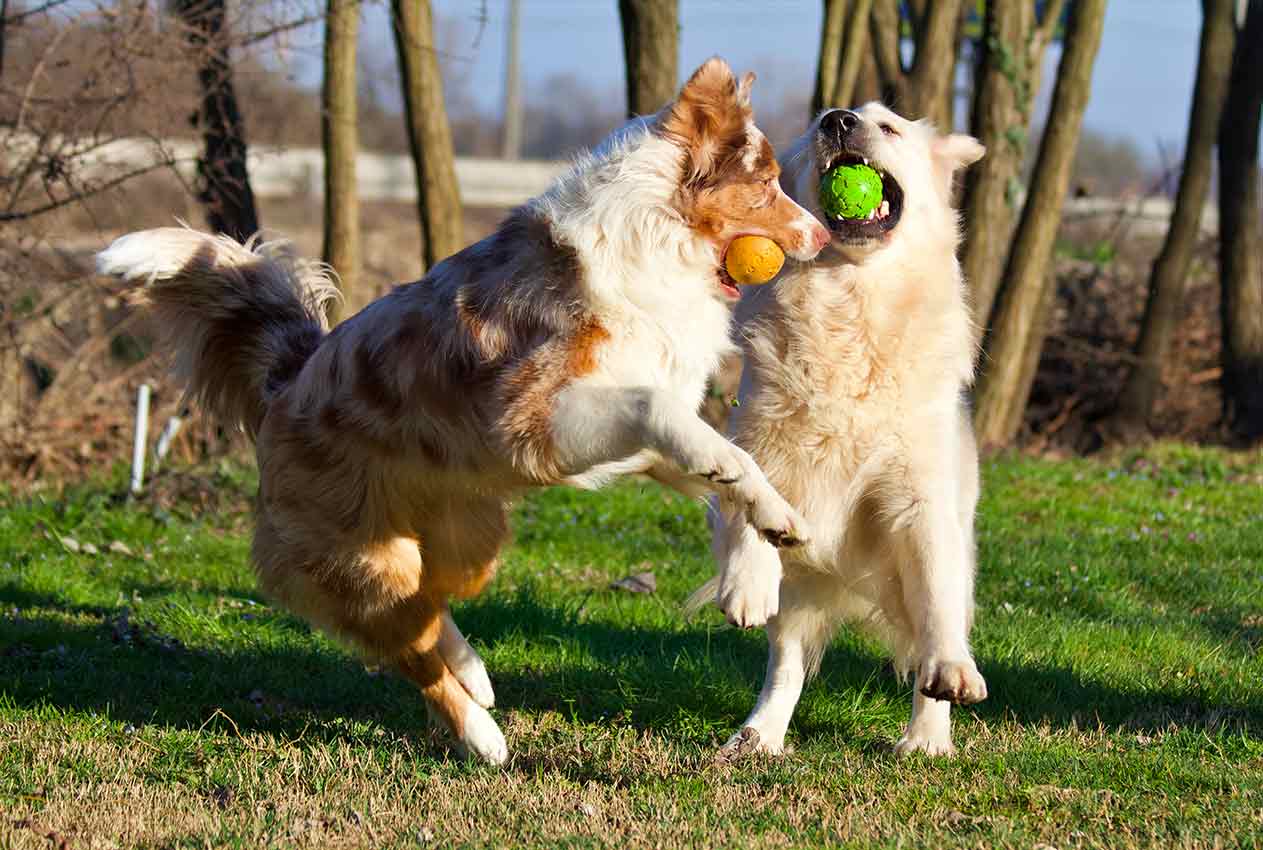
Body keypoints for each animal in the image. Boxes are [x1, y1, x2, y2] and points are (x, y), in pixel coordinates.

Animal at [98, 59, 828, 762]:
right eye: (767, 185)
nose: (823, 234)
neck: (655, 241)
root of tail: (289, 379)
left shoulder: (633, 444)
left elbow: (738, 469)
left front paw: (765, 556)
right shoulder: (534, 419)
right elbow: (673, 421)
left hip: (468, 539)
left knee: (429, 605)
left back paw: (474, 670)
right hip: (361, 557)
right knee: (406, 648)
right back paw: (480, 734)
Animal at [702, 101, 985, 757]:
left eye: (890, 127)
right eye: (813, 132)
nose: (838, 119)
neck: (852, 299)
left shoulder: (920, 502)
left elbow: (937, 607)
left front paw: (951, 678)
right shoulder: (761, 443)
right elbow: (752, 505)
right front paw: (745, 585)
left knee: (932, 631)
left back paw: (929, 735)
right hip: (798, 595)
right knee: (785, 664)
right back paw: (758, 736)